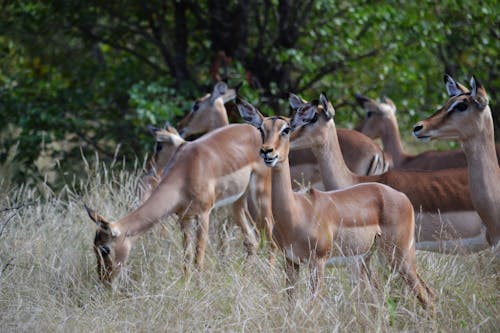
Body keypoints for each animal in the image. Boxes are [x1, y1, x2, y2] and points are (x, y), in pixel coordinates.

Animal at [235, 98, 434, 308]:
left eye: (287, 129)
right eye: (261, 129)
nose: (267, 152)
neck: (297, 211)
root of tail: (401, 197)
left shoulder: (318, 263)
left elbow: (313, 307)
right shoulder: (291, 262)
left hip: (401, 257)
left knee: (427, 296)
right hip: (371, 258)